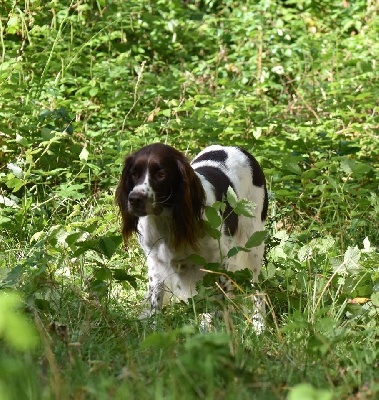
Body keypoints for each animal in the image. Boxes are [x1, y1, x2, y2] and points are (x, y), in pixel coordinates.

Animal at [116, 142, 268, 318]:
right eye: (134, 174)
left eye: (161, 174)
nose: (134, 199)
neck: (166, 223)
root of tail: (238, 149)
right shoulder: (155, 263)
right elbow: (156, 301)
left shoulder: (221, 260)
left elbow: (219, 303)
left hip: (253, 245)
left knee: (257, 291)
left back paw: (259, 322)